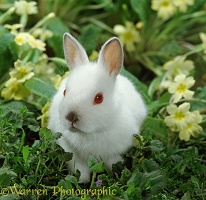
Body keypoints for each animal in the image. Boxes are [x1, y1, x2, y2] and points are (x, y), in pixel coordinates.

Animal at [48, 33, 146, 183]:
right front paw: (82, 181)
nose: (71, 117)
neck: (90, 133)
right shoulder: (72, 152)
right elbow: (80, 169)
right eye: (65, 92)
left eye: (99, 98)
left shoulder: (113, 153)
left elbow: (113, 164)